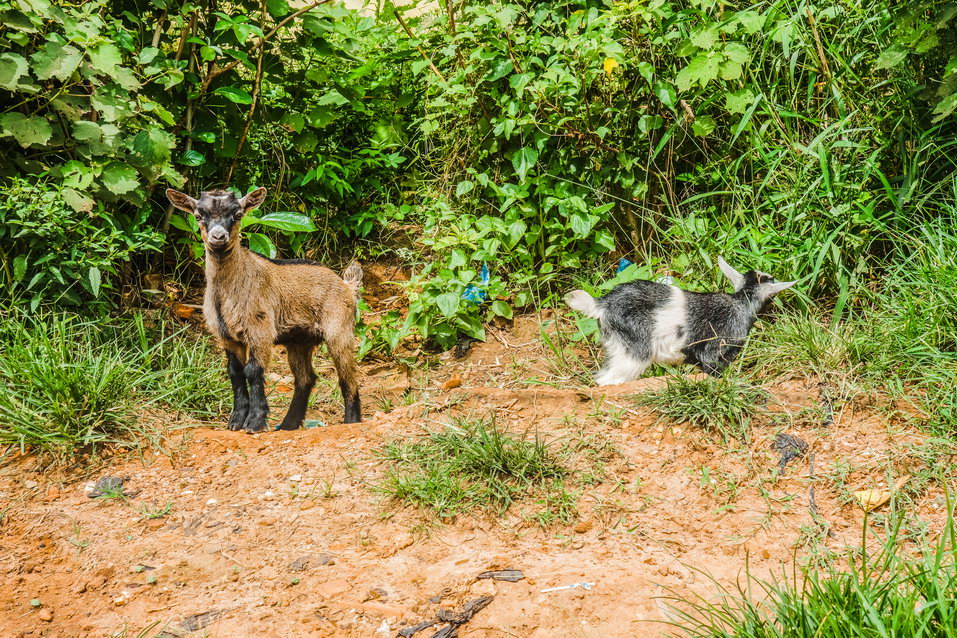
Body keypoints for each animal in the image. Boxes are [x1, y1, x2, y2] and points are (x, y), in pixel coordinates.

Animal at [166, 188, 360, 432]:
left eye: (238, 214)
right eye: (199, 215)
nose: (218, 237)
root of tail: (347, 285)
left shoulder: (260, 330)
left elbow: (253, 371)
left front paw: (255, 422)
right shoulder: (227, 336)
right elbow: (235, 372)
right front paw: (236, 421)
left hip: (339, 329)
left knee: (347, 377)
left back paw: (352, 421)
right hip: (299, 340)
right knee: (305, 378)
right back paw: (288, 424)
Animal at [564, 258, 796, 384]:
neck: (740, 301)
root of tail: (601, 304)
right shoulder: (717, 350)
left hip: (616, 346)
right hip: (635, 350)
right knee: (608, 380)